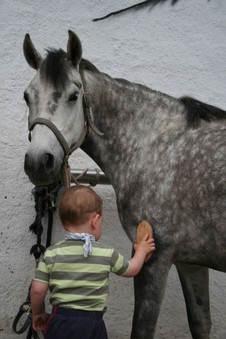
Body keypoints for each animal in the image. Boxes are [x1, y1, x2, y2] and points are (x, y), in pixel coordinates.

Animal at [23, 30, 226, 338]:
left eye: (74, 95)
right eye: (26, 96)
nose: (38, 162)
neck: (155, 146)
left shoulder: (155, 258)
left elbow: (142, 329)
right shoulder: (190, 263)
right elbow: (200, 324)